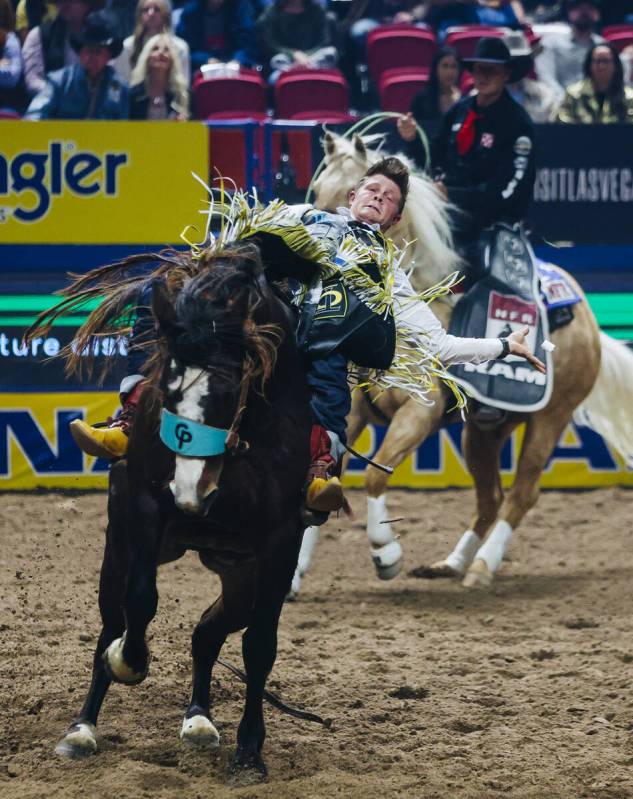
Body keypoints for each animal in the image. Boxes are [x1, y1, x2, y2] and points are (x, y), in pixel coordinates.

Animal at [27, 242, 314, 780]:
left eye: (230, 391)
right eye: (170, 389)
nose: (189, 491)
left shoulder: (280, 540)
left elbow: (259, 646)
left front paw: (250, 750)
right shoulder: (145, 505)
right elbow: (139, 603)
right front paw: (128, 662)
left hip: (239, 572)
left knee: (207, 633)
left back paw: (199, 719)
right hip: (120, 543)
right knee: (111, 622)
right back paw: (82, 728)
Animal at [294, 133, 632, 592]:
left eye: (365, 193)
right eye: (317, 190)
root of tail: (588, 319)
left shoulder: (420, 411)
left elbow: (376, 476)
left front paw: (386, 552)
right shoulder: (354, 411)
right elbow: (325, 476)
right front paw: (294, 575)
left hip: (551, 417)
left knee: (522, 493)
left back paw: (481, 567)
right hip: (485, 430)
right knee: (490, 498)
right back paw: (452, 564)